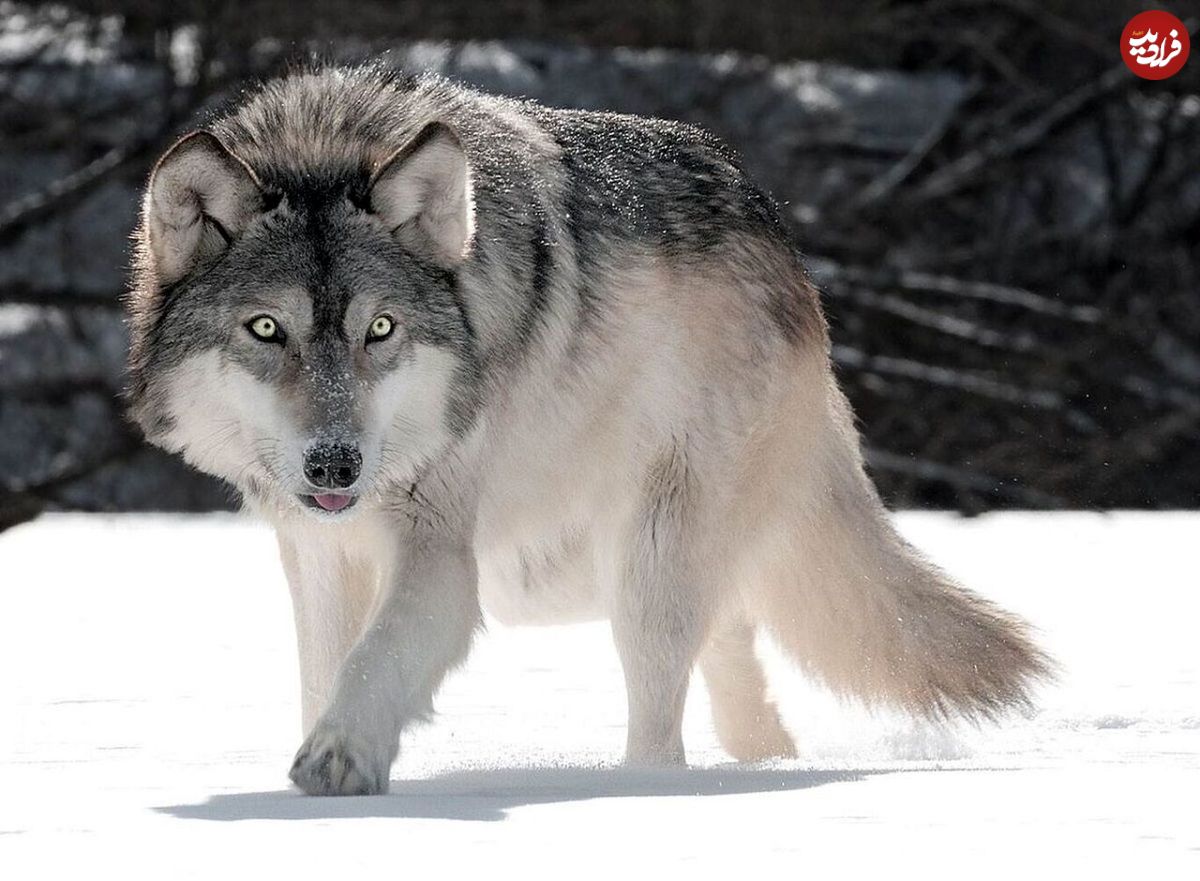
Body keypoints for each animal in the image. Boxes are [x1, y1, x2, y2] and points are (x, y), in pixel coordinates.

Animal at [126, 65, 1051, 801]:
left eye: (380, 330)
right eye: (266, 329)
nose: (336, 463)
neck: (326, 143)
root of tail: (789, 255)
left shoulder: (438, 553)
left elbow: (374, 660)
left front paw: (338, 758)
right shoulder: (320, 551)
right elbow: (327, 668)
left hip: (637, 562)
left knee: (665, 718)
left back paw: (644, 791)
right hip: (564, 567)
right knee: (734, 650)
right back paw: (765, 767)